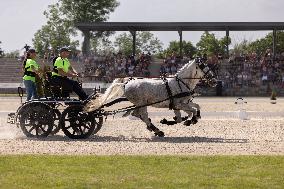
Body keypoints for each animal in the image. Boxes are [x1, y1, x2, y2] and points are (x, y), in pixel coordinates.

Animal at [85, 58, 216, 137]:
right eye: (203, 65)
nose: (214, 80)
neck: (182, 82)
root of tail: (126, 83)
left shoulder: (182, 104)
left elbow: (194, 109)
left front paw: (187, 119)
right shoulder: (179, 104)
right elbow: (192, 111)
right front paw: (190, 120)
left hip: (140, 104)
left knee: (137, 114)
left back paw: (154, 128)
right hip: (141, 103)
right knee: (142, 115)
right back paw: (157, 130)